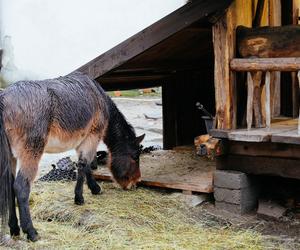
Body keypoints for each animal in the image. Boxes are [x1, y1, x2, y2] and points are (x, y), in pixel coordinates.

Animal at [0, 71, 144, 241]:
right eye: (135, 157)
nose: (136, 182)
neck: (100, 98)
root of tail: (4, 99)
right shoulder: (91, 137)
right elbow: (84, 166)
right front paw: (82, 197)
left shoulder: (82, 143)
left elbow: (86, 166)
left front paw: (92, 189)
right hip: (31, 153)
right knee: (21, 187)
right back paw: (31, 232)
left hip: (11, 157)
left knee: (10, 187)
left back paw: (14, 229)